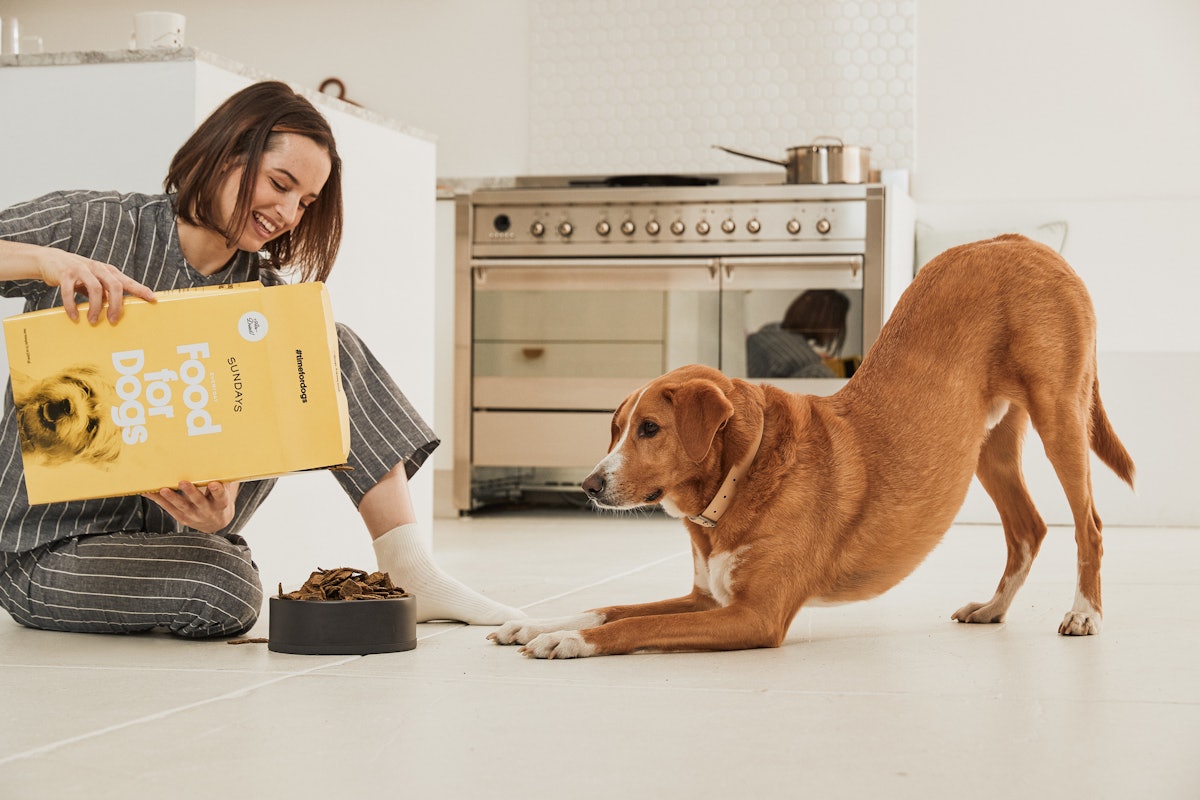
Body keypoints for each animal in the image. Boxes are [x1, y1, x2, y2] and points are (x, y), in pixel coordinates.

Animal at [487, 235, 1132, 662]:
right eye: (616, 427)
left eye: (649, 429)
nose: (588, 485)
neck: (740, 478)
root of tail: (1022, 240)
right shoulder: (706, 599)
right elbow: (614, 606)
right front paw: (534, 624)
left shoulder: (754, 617)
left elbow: (629, 629)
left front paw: (568, 638)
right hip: (989, 448)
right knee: (1028, 529)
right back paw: (993, 609)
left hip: (1060, 417)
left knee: (1090, 525)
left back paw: (1085, 613)